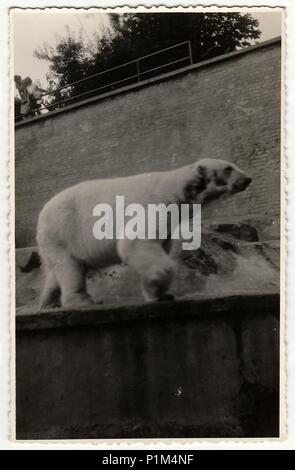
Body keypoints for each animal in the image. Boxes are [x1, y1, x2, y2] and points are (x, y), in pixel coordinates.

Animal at [36, 160, 252, 310]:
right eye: (228, 168)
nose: (248, 179)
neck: (174, 188)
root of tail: (41, 214)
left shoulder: (169, 220)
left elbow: (159, 244)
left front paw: (160, 294)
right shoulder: (153, 205)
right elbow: (136, 242)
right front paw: (160, 284)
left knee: (55, 272)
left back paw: (48, 302)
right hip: (62, 232)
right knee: (70, 268)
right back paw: (83, 301)